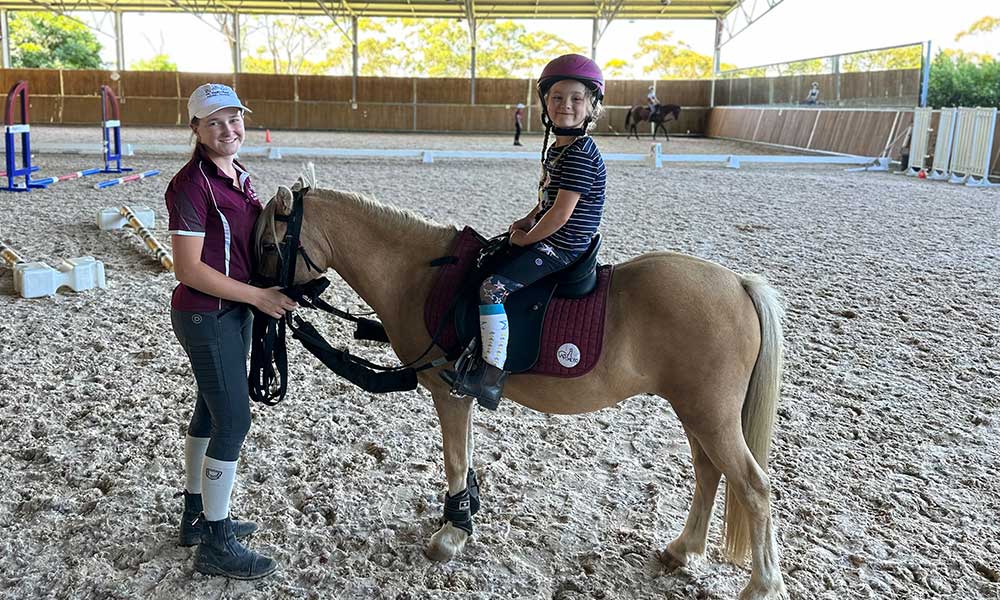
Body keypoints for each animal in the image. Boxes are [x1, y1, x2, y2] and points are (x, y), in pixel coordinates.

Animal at [254, 184, 788, 600]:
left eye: (268, 246)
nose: (262, 302)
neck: (422, 275)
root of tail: (739, 284)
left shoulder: (449, 393)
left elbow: (454, 458)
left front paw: (452, 534)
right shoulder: (460, 395)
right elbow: (467, 454)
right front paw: (465, 512)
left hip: (710, 415)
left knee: (753, 487)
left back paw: (762, 586)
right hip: (697, 412)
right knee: (710, 473)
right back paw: (683, 549)